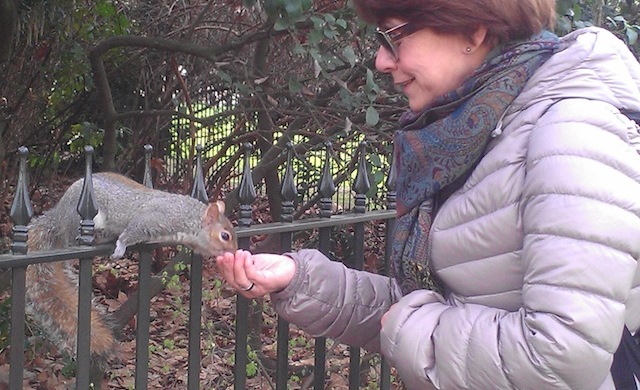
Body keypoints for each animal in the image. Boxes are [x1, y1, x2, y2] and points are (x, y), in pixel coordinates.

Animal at [24, 172, 240, 364]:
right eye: (225, 236)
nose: (235, 252)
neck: (190, 219)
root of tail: (57, 214)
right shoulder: (153, 219)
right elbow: (132, 231)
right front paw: (121, 246)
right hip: (77, 219)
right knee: (71, 238)